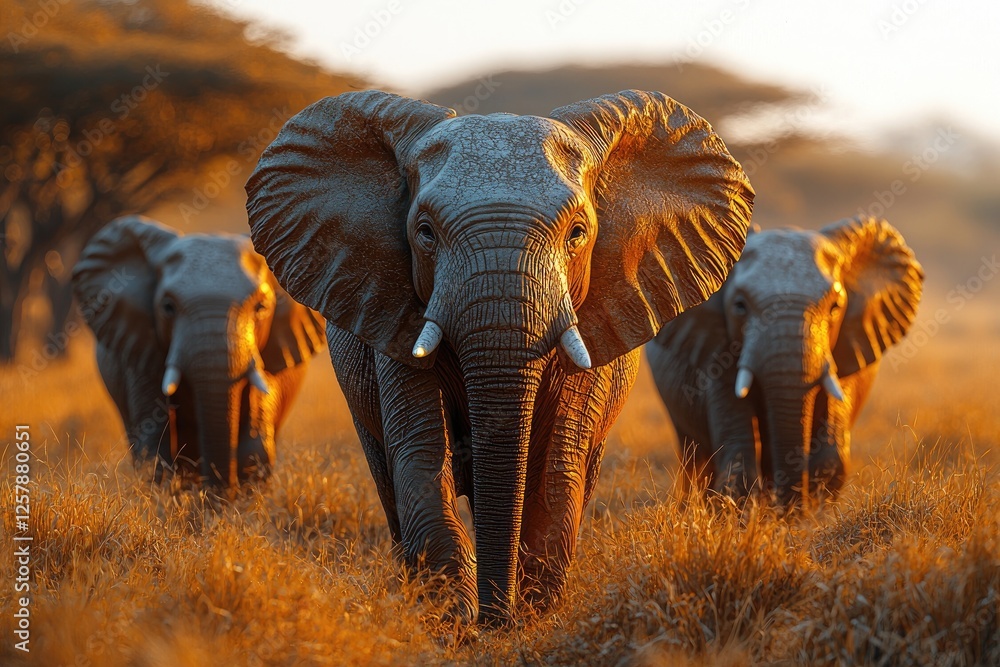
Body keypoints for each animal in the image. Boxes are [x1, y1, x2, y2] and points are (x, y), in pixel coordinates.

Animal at [245, 89, 754, 623]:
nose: (497, 617)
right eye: (425, 232)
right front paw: (457, 621)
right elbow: (422, 460)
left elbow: (557, 467)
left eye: (577, 233)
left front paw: (528, 618)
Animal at [647, 216, 923, 504]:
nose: (786, 503)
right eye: (739, 306)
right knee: (693, 452)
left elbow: (831, 452)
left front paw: (802, 512)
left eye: (835, 307)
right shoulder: (715, 347)